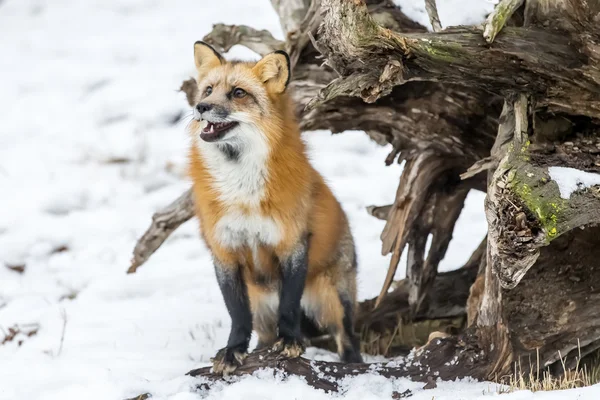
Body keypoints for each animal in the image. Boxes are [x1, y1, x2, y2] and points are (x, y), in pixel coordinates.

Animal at [188, 41, 360, 376]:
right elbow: (237, 314)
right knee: (264, 336)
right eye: (208, 90)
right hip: (262, 306)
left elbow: (289, 305)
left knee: (348, 340)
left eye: (238, 92)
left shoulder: (292, 242)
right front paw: (233, 350)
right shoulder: (224, 250)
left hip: (331, 299)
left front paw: (291, 340)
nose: (201, 107)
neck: (242, 191)